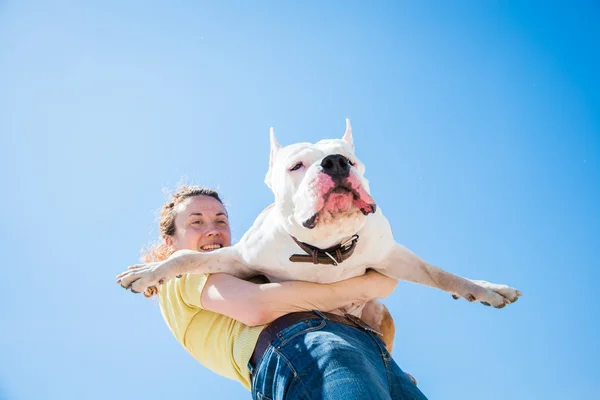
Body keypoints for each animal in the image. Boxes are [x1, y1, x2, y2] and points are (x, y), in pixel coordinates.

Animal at [118, 119, 520, 346]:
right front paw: (148, 272)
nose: (337, 163)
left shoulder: (391, 256)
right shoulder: (238, 259)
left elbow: (441, 274)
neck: (326, 248)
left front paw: (487, 289)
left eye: (353, 160)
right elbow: (186, 256)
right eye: (296, 166)